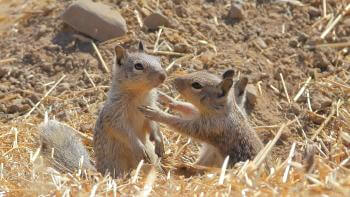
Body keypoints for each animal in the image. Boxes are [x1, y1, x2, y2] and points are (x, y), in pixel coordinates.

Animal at [39, 42, 167, 178]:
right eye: (138, 66)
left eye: (159, 60)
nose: (163, 76)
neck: (140, 94)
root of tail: (97, 171)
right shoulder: (115, 115)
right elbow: (124, 131)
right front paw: (139, 147)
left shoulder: (150, 108)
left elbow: (153, 124)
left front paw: (159, 141)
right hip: (117, 162)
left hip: (151, 158)